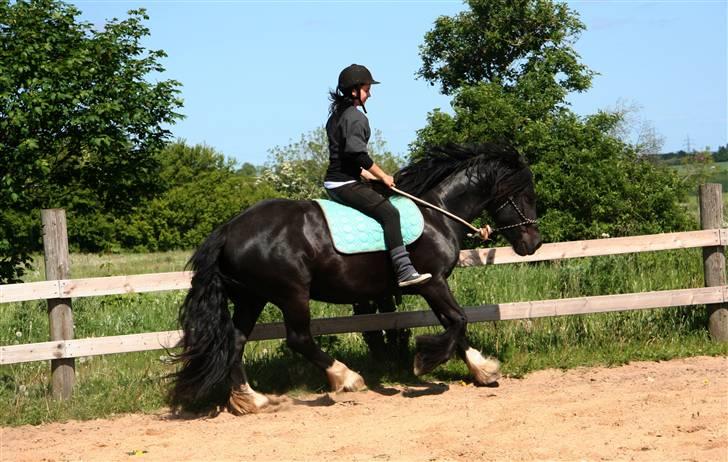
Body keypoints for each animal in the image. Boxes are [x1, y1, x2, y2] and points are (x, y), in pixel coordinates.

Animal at [172, 143, 540, 414]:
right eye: (524, 194)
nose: (533, 243)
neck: (438, 215)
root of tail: (228, 230)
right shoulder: (432, 281)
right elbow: (458, 320)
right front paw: (424, 362)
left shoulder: (432, 285)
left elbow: (455, 324)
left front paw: (482, 371)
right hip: (292, 293)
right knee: (298, 339)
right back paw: (345, 377)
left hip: (252, 297)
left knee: (235, 341)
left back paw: (252, 399)